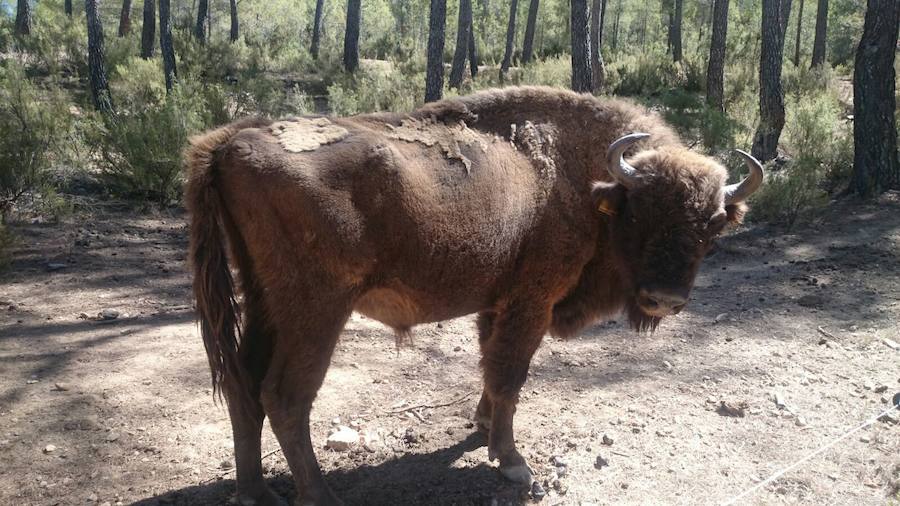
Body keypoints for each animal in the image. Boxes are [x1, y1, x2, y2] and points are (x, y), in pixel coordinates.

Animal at [186, 85, 764, 504]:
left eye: (713, 225)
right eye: (640, 212)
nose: (664, 297)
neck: (587, 181)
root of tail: (232, 141)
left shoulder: (496, 303)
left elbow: (490, 367)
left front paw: (484, 427)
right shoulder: (531, 303)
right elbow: (510, 376)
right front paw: (513, 464)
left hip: (262, 301)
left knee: (242, 385)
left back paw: (255, 493)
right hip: (316, 310)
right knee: (285, 396)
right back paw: (320, 496)